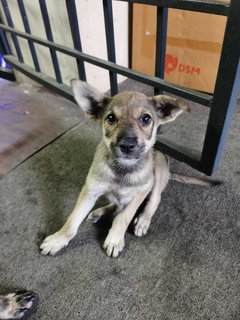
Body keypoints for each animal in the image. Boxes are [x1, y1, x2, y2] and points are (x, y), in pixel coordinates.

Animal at [39, 81, 216, 258]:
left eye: (146, 118)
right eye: (111, 118)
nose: (127, 145)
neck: (123, 169)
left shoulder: (139, 194)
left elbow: (123, 217)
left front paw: (115, 239)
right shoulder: (90, 190)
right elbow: (73, 219)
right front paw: (58, 239)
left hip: (157, 173)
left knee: (153, 201)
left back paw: (143, 221)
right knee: (117, 204)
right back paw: (100, 212)